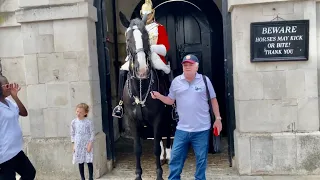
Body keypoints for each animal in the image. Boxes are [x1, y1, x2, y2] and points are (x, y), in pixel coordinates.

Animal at [119, 13, 172, 180]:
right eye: (128, 38)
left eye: (146, 37)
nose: (142, 70)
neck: (140, 88)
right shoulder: (133, 121)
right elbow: (137, 148)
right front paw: (138, 175)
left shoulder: (157, 118)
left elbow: (155, 147)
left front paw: (159, 175)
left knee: (169, 132)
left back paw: (169, 155)